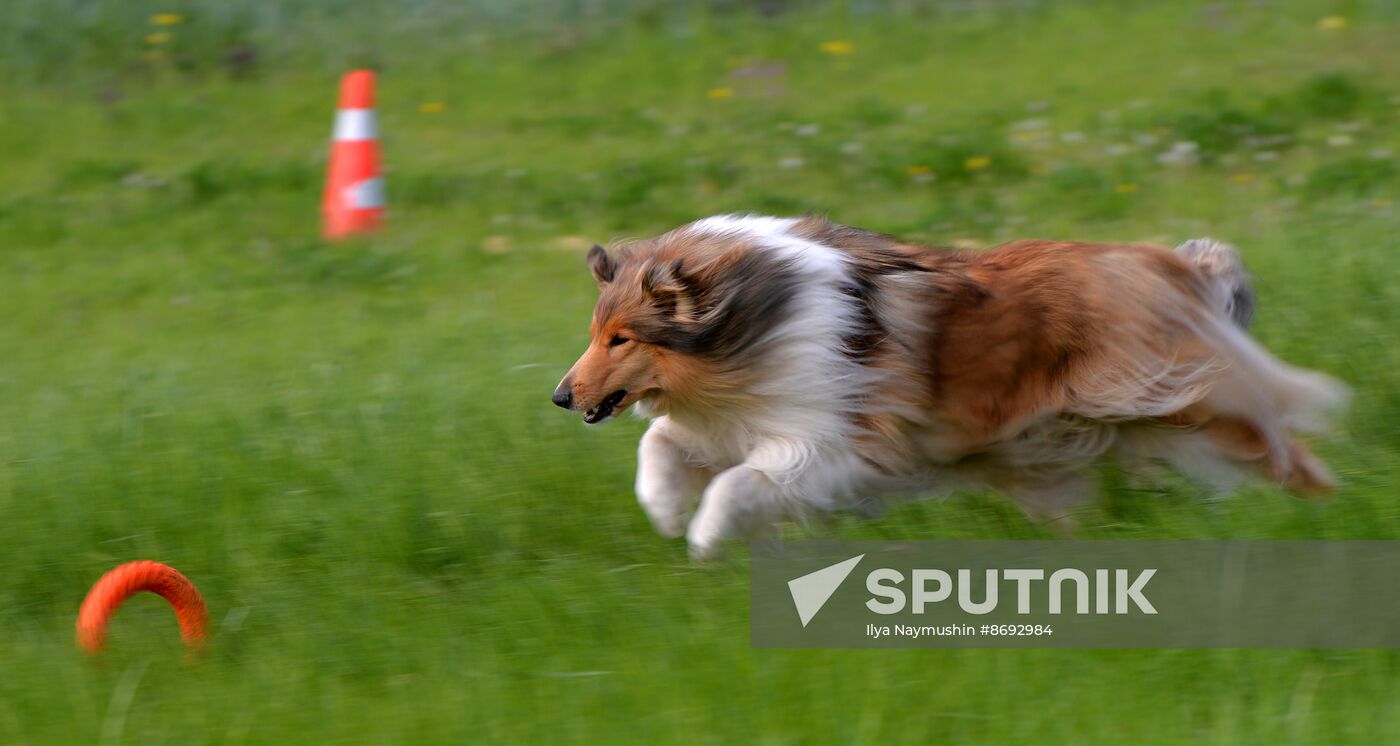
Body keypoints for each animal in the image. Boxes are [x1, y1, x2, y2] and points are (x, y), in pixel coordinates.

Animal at [546, 212, 1344, 554]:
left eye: (621, 339)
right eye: (594, 333)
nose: (560, 396)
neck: (755, 321)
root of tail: (1178, 264)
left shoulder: (830, 445)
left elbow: (735, 483)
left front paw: (704, 536)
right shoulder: (729, 421)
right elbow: (660, 442)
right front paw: (664, 512)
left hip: (1182, 403)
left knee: (1288, 453)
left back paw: (1323, 517)